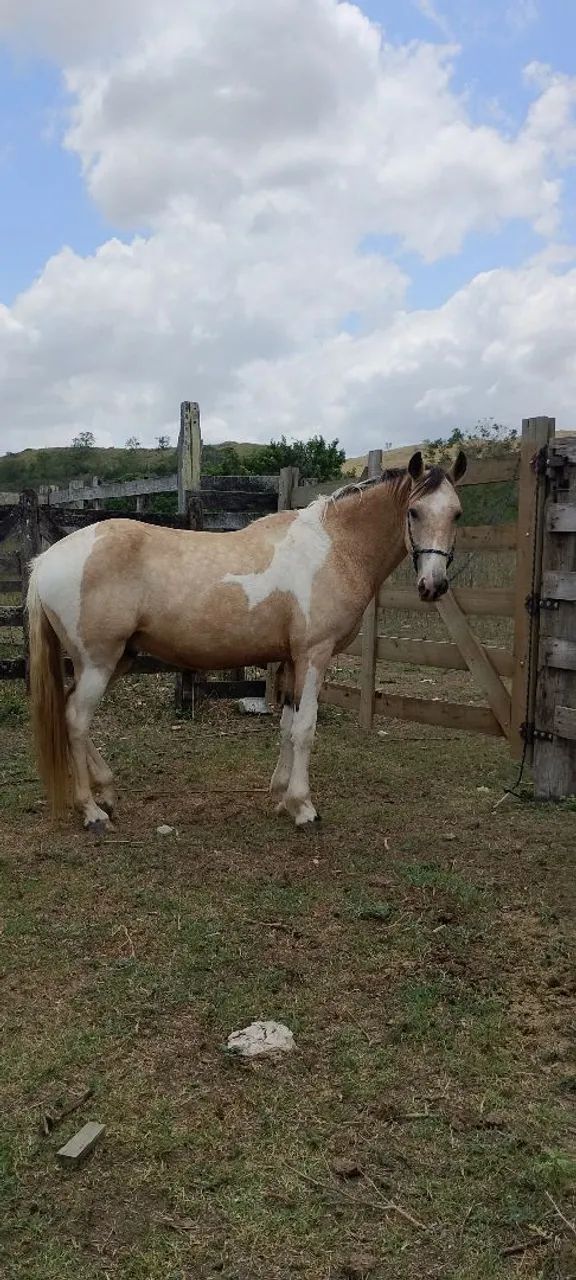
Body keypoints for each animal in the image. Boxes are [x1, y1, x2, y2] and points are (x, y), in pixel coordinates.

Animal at [26, 449, 466, 832]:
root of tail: (45, 561)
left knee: (70, 714)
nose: (434, 585)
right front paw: (305, 807)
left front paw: (282, 797)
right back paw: (91, 811)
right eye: (414, 511)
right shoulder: (315, 654)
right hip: (98, 663)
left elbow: (288, 726)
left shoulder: (291, 660)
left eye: (457, 513)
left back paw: (107, 791)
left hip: (117, 660)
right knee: (76, 720)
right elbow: (306, 727)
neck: (334, 548)